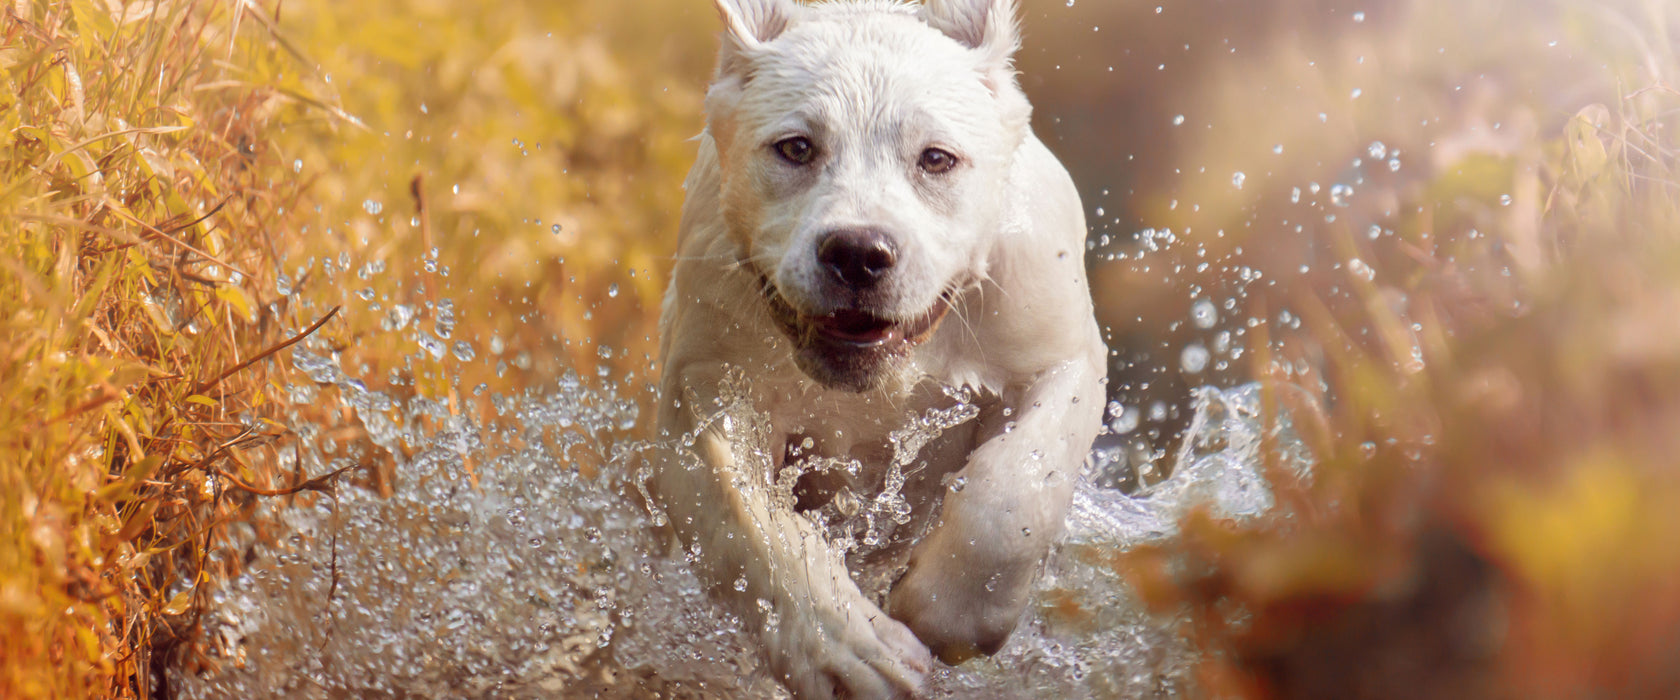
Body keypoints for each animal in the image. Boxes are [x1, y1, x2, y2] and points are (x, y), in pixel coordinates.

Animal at [648, 1, 1108, 691]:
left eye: (937, 158)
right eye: (796, 148)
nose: (858, 252)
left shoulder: (1059, 354)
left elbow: (1013, 494)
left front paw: (948, 611)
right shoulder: (706, 380)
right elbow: (750, 523)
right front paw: (851, 652)